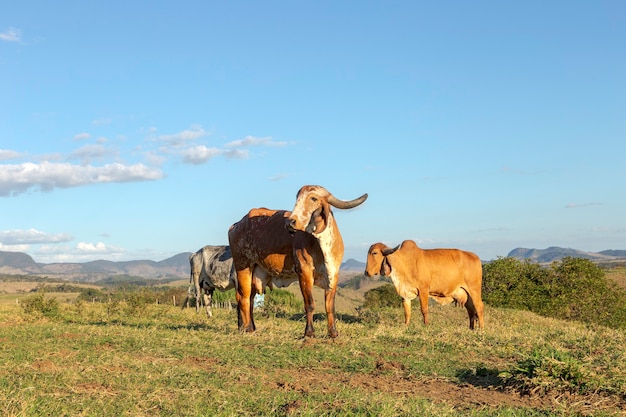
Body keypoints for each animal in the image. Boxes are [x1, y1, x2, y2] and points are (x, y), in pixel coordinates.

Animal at [228, 185, 366, 338]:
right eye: (297, 198)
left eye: (313, 198)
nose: (290, 222)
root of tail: (237, 225)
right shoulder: (304, 272)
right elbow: (309, 304)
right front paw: (309, 332)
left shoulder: (334, 274)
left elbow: (330, 306)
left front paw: (333, 333)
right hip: (243, 265)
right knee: (244, 298)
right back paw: (247, 329)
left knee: (250, 299)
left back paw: (250, 327)